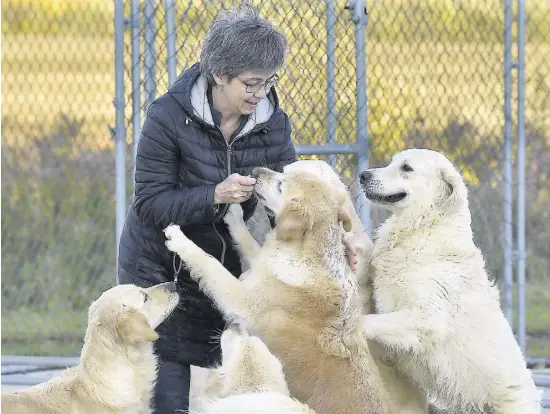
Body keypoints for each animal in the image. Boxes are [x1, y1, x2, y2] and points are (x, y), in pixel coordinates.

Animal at [166, 163, 394, 414]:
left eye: (280, 185)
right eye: (283, 175)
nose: (256, 170)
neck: (310, 256)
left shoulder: (241, 299)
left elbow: (208, 261)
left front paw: (178, 238)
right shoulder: (260, 264)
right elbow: (247, 240)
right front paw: (234, 213)